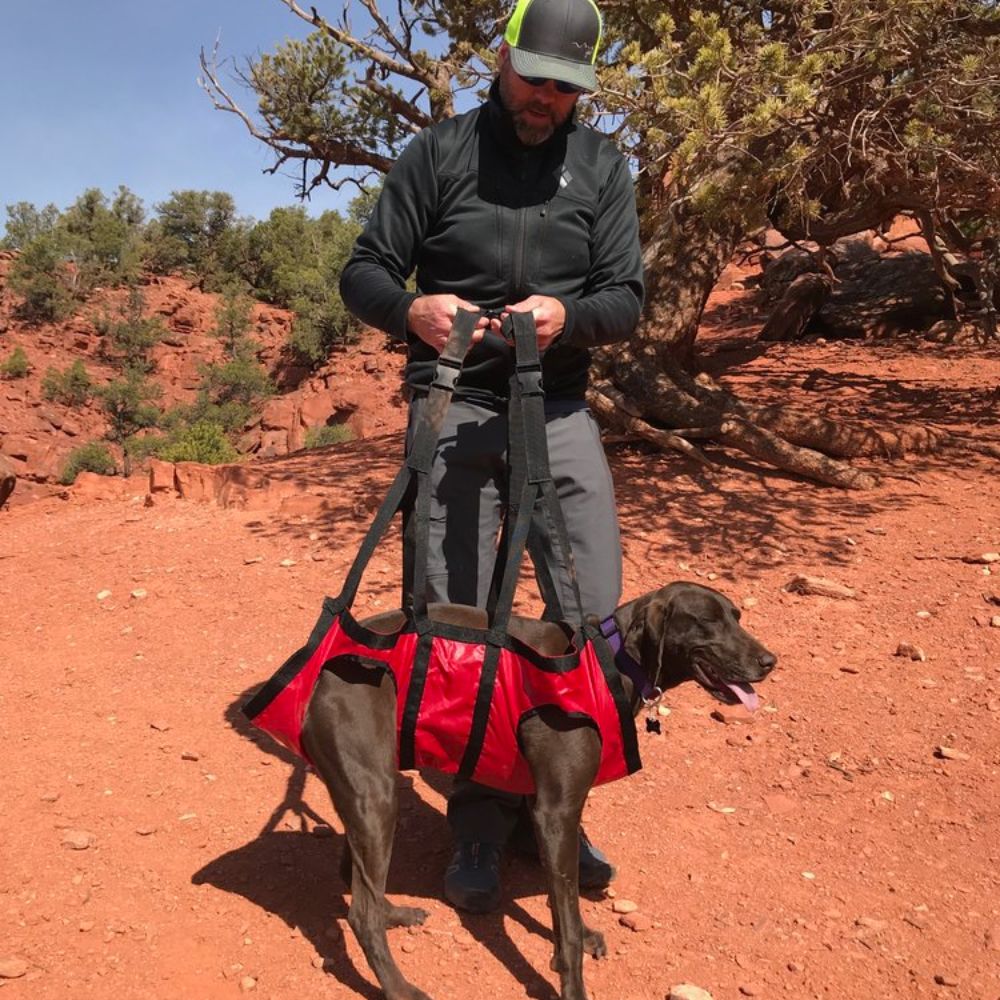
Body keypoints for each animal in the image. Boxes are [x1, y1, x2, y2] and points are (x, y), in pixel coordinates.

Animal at [300, 580, 776, 1000]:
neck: (608, 660)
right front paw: (573, 984)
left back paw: (394, 913)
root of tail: (317, 680)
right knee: (360, 915)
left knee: (355, 881)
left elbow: (561, 901)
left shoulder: (546, 807)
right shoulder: (556, 811)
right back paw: (400, 988)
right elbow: (566, 915)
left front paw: (575, 939)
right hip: (376, 797)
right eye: (706, 621)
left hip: (366, 796)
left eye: (737, 616)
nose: (770, 660)